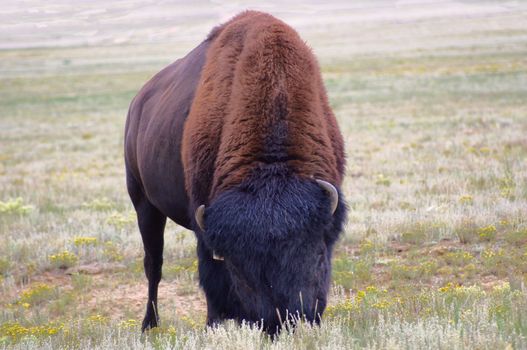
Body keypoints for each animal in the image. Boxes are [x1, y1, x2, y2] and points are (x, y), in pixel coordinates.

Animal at [124, 10, 346, 334]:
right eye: (239, 270)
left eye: (318, 255)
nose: (285, 319)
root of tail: (137, 104)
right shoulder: (204, 224)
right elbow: (210, 275)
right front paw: (214, 324)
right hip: (144, 203)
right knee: (154, 264)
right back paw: (149, 325)